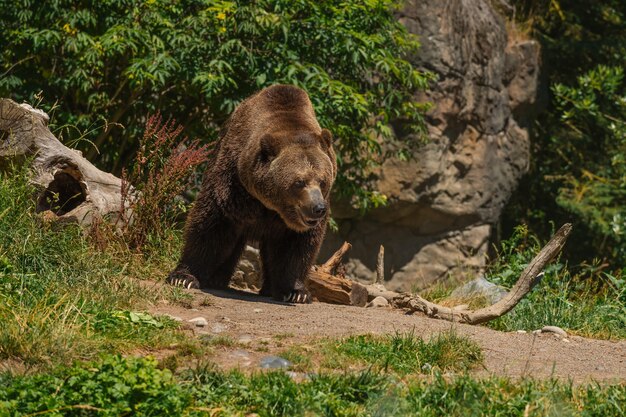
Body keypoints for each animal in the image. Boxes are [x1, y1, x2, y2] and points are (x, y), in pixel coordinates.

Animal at [163, 83, 334, 302]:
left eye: (322, 181)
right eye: (299, 182)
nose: (317, 208)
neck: (271, 206)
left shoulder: (294, 224)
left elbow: (298, 246)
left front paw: (296, 292)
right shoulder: (233, 185)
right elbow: (210, 225)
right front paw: (184, 277)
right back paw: (217, 279)